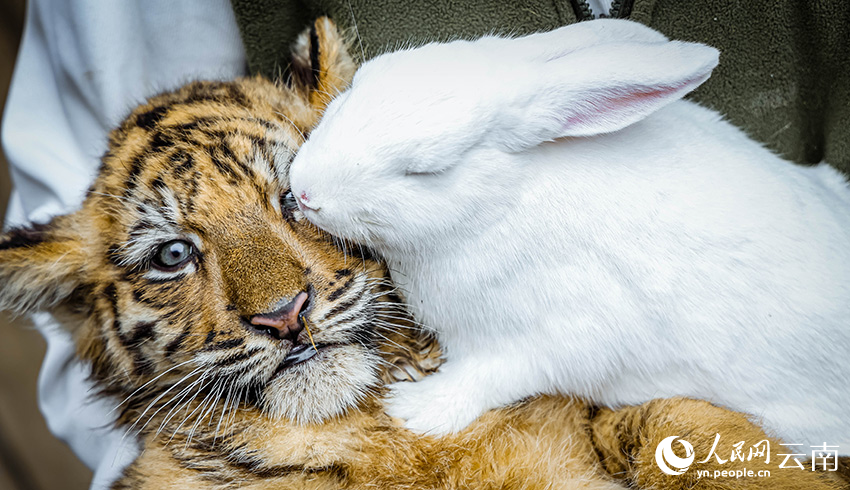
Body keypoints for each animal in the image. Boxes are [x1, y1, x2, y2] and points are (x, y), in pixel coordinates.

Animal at [0, 17, 843, 490]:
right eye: (172, 256)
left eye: (425, 171)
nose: (285, 317)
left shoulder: (572, 332)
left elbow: (529, 373)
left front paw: (420, 408)